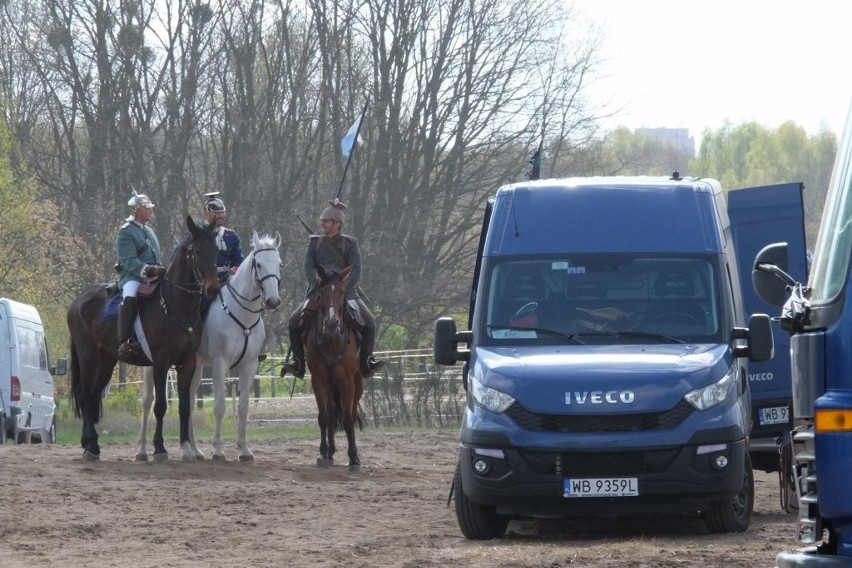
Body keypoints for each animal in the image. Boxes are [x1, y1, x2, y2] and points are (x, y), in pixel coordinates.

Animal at [68, 215, 220, 460]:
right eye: (197, 251)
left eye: (216, 249)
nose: (213, 288)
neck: (175, 304)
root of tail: (77, 301)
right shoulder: (160, 362)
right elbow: (160, 406)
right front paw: (159, 448)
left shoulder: (187, 362)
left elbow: (184, 406)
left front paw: (187, 447)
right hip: (88, 357)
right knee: (85, 395)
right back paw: (91, 446)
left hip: (107, 361)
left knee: (93, 395)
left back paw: (90, 444)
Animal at [136, 231, 282, 462]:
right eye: (258, 264)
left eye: (279, 263)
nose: (273, 301)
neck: (242, 313)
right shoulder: (220, 363)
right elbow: (220, 406)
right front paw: (219, 450)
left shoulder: (249, 366)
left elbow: (243, 407)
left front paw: (244, 450)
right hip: (153, 365)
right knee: (147, 400)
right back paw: (142, 450)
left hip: (194, 367)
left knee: (189, 400)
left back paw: (194, 450)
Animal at [304, 266, 364, 470]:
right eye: (321, 293)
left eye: (342, 292)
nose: (331, 325)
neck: (331, 342)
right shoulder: (318, 381)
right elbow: (323, 418)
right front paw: (323, 453)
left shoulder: (347, 383)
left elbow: (348, 420)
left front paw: (353, 458)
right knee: (330, 414)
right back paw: (329, 452)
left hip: (357, 385)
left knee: (351, 413)